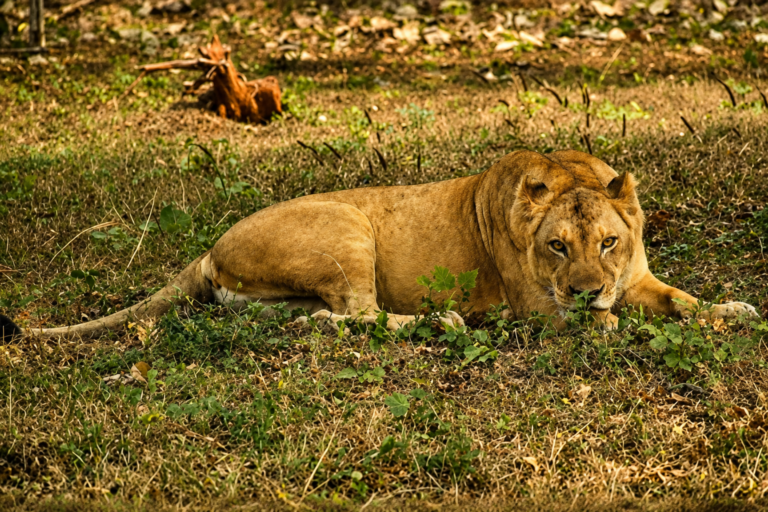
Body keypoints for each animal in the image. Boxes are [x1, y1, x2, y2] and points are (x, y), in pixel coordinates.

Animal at [0, 149, 757, 342]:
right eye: (557, 248)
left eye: (607, 241)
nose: (590, 287)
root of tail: (211, 247)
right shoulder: (540, 309)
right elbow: (612, 325)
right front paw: (617, 323)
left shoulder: (637, 277)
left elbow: (681, 300)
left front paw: (734, 311)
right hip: (348, 229)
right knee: (362, 317)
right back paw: (442, 320)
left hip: (282, 296)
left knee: (324, 320)